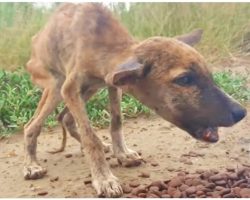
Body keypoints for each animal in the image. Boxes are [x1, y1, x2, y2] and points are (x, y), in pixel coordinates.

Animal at [23, 2, 246, 197]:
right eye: (184, 79)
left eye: (209, 75)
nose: (241, 112)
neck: (102, 43)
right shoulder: (71, 88)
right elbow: (90, 137)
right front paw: (104, 178)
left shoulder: (113, 84)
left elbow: (116, 121)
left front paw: (122, 153)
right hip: (56, 86)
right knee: (32, 125)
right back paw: (32, 165)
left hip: (89, 90)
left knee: (66, 117)